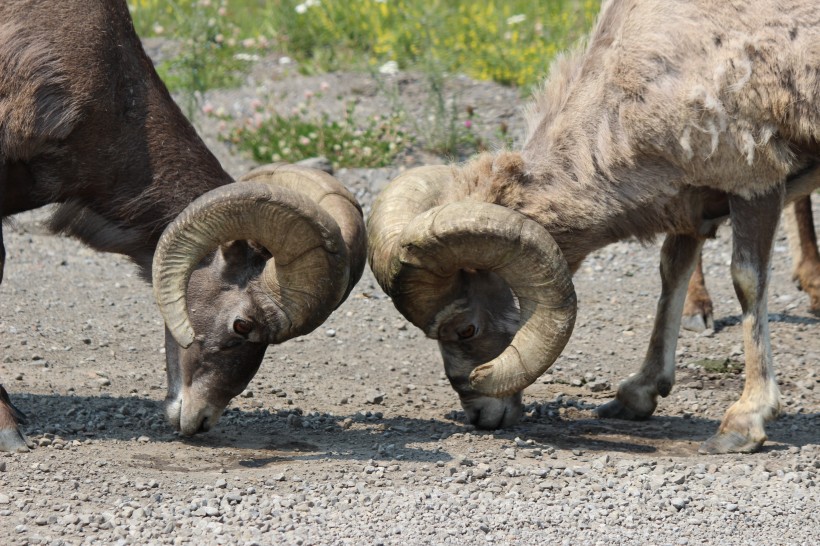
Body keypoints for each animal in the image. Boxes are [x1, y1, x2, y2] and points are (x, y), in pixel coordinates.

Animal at [372, 0, 820, 450]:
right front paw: (636, 395)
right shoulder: (692, 200)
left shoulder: (755, 182)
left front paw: (743, 424)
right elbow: (672, 274)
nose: (480, 415)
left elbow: (748, 283)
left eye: (465, 329)